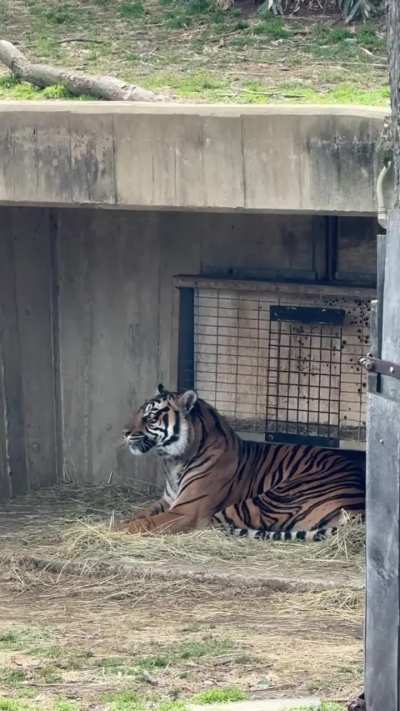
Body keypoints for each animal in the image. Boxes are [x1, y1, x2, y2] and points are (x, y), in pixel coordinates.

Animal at [121, 384, 365, 540]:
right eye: (139, 412)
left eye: (151, 417)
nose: (125, 432)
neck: (173, 461)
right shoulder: (166, 501)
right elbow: (139, 514)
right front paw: (121, 521)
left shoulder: (187, 510)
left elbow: (147, 522)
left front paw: (116, 528)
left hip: (267, 500)